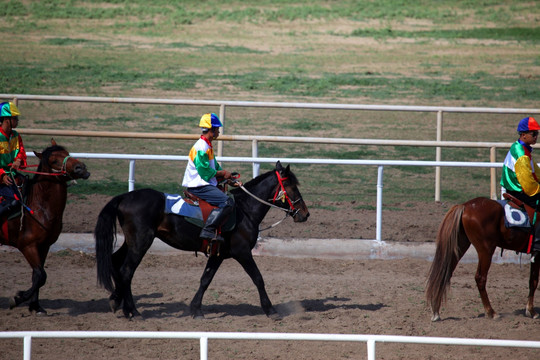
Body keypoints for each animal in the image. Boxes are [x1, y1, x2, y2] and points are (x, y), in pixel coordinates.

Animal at [2, 140, 90, 316]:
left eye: (67, 153)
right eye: (54, 161)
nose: (81, 168)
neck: (39, 207)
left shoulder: (44, 246)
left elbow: (37, 276)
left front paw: (35, 306)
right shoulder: (27, 246)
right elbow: (40, 275)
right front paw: (18, 298)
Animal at [95, 162, 310, 320]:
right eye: (291, 186)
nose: (305, 214)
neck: (244, 210)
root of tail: (125, 196)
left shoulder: (218, 254)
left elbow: (205, 279)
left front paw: (196, 309)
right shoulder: (242, 253)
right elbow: (258, 278)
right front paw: (271, 310)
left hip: (131, 243)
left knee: (116, 262)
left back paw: (117, 301)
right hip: (141, 243)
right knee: (126, 271)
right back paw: (133, 311)